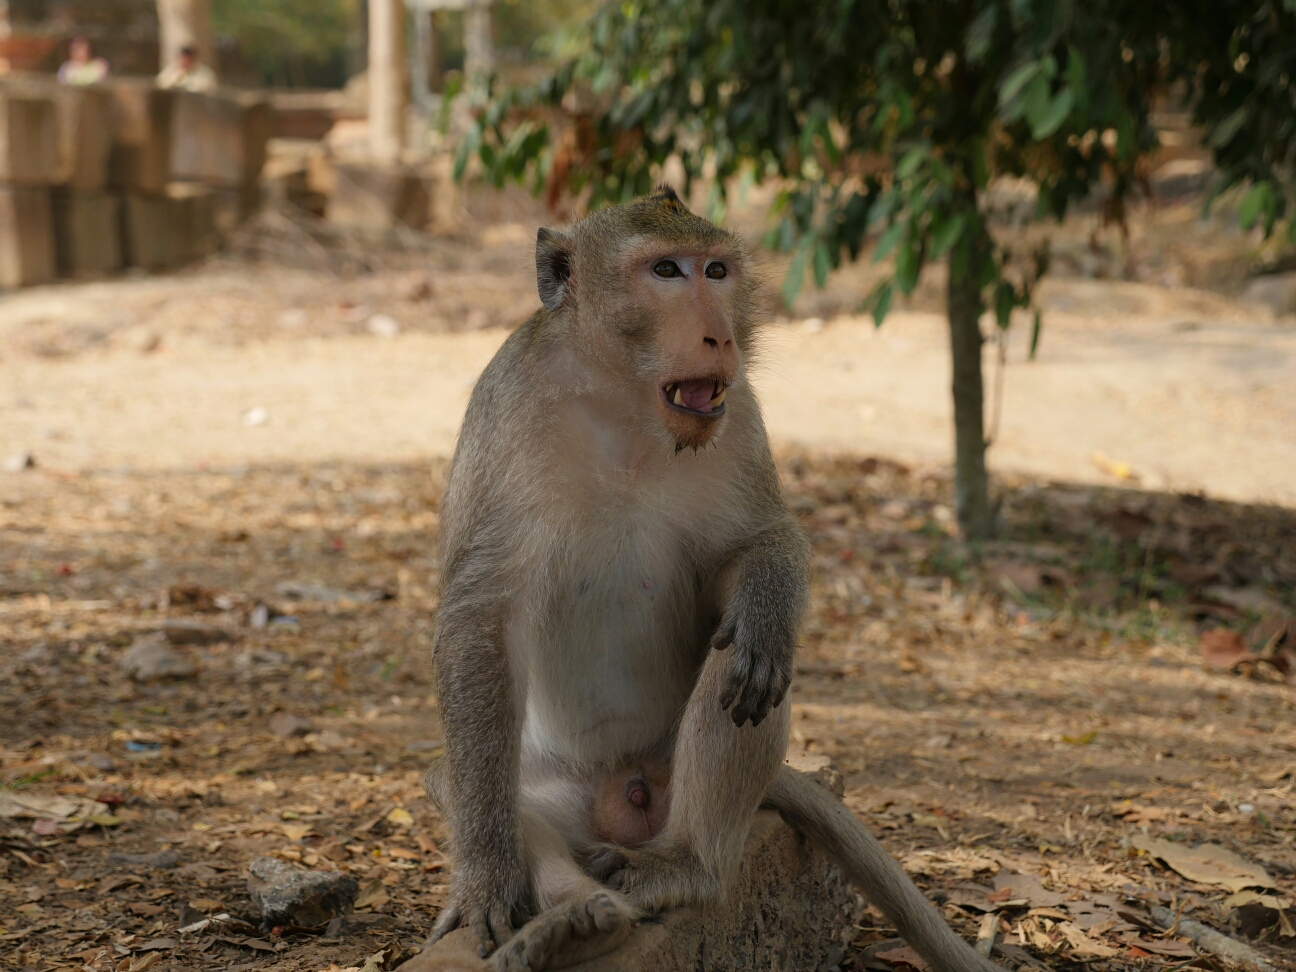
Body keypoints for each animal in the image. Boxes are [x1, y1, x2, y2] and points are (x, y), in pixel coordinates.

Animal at [425, 190, 1000, 972]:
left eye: (718, 271)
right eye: (667, 270)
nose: (719, 338)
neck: (627, 408)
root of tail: (625, 799)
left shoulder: (741, 413)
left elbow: (757, 547)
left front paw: (763, 603)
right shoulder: (505, 408)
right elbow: (480, 617)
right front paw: (486, 882)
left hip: (675, 786)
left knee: (747, 675)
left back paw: (683, 866)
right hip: (561, 798)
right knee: (477, 788)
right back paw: (577, 919)